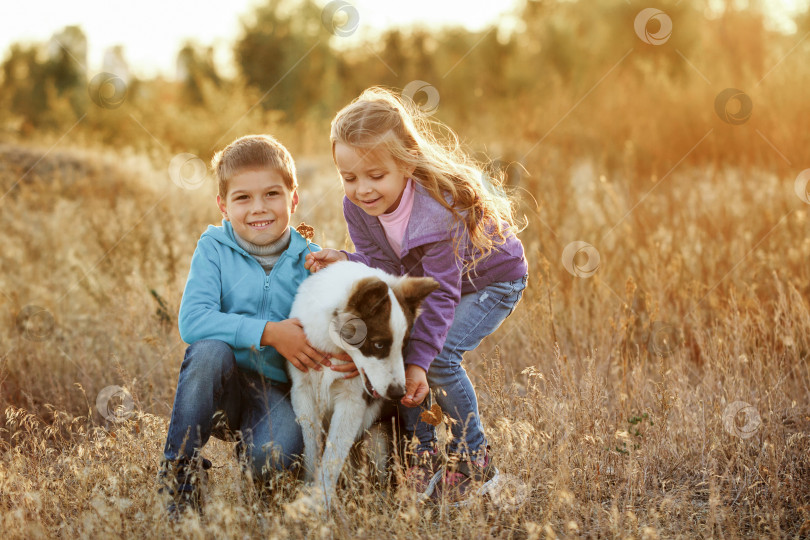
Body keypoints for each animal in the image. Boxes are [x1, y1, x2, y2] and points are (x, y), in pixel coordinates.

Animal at [286, 260, 436, 506]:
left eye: (403, 345)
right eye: (378, 345)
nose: (398, 394)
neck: (334, 347)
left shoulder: (352, 404)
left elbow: (332, 456)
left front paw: (320, 502)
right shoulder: (303, 394)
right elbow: (312, 449)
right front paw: (309, 490)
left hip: (377, 438)